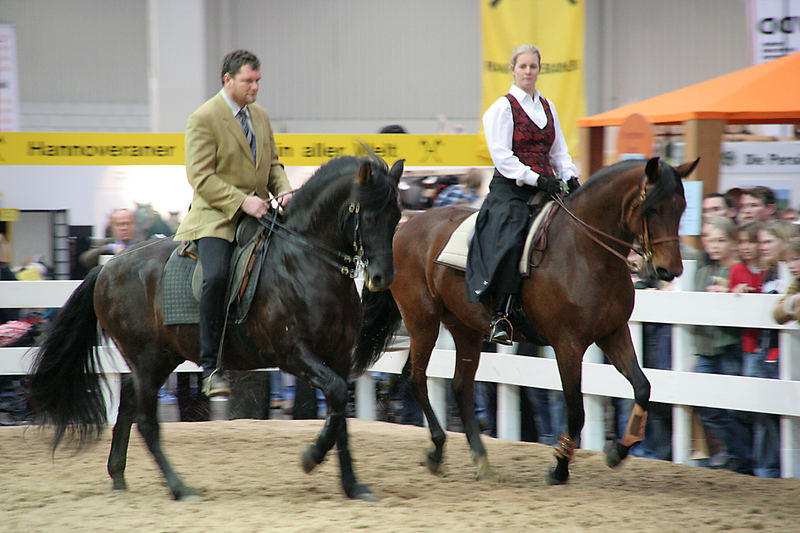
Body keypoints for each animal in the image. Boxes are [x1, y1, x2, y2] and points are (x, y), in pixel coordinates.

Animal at [28, 153, 404, 498]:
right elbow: (338, 397)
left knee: (129, 404)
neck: (306, 261)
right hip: (148, 358)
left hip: (161, 357)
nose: (383, 279)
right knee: (147, 421)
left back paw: (119, 476)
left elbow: (341, 414)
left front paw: (352, 485)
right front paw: (311, 457)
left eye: (397, 216)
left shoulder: (338, 356)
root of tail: (108, 266)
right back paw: (179, 487)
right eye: (369, 215)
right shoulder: (293, 353)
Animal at [356, 157, 700, 482]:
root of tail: (405, 227)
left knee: (461, 387)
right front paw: (560, 467)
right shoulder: (568, 345)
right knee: (416, 377)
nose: (669, 271)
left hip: (464, 327)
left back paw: (481, 460)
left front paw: (618, 450)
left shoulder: (613, 333)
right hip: (422, 320)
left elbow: (642, 387)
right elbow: (576, 410)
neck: (585, 250)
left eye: (681, 208)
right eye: (653, 208)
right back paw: (438, 449)